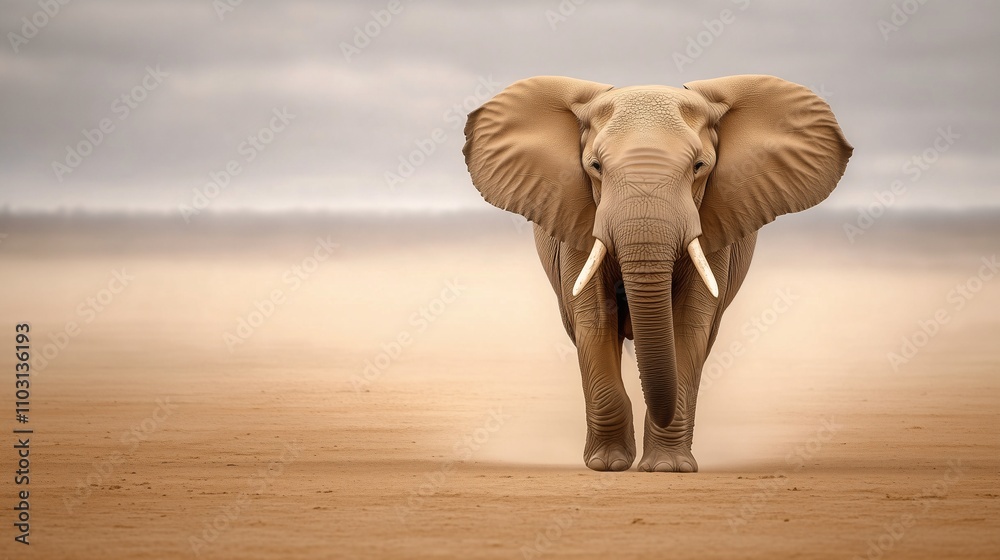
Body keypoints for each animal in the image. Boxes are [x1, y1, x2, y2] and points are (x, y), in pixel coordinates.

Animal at [462, 75, 852, 472]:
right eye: (595, 166)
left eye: (699, 166)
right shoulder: (577, 218)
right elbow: (595, 321)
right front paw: (608, 465)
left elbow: (689, 325)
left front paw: (668, 467)